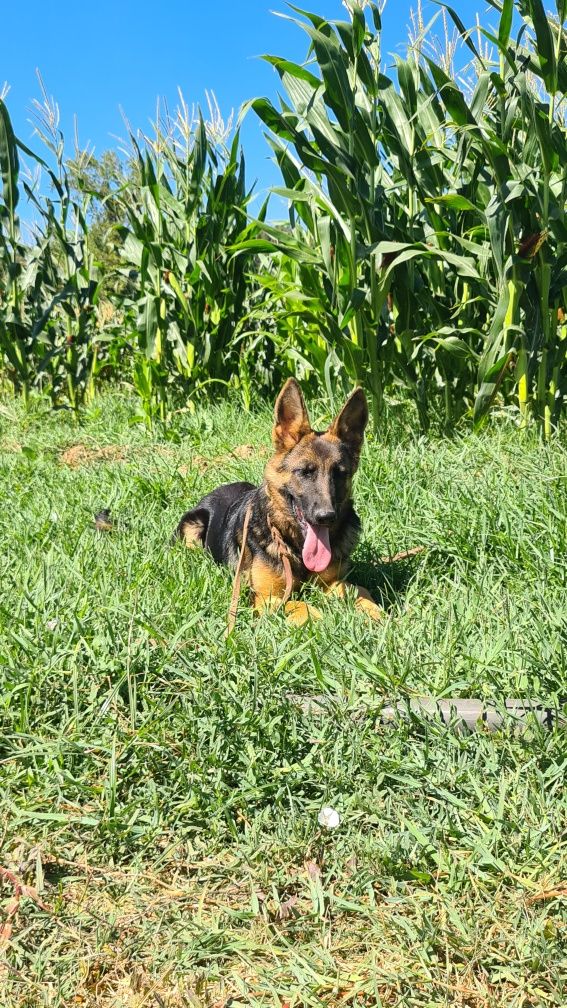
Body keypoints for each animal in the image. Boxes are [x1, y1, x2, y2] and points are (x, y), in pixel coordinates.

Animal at [175, 379, 379, 620]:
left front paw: (376, 613)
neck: (296, 547)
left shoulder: (332, 582)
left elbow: (359, 590)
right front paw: (322, 618)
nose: (326, 517)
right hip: (192, 531)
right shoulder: (266, 598)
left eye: (340, 473)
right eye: (305, 472)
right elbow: (301, 605)